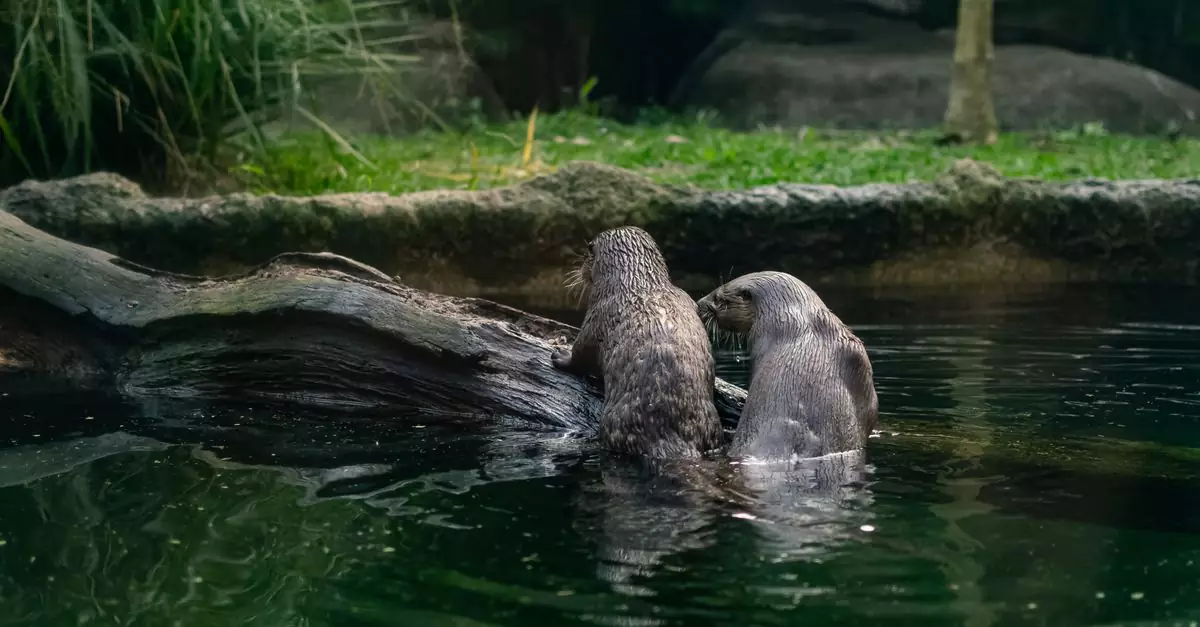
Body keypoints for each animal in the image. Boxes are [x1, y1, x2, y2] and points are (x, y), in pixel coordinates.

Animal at [551, 226, 725, 459]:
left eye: (587, 256)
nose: (580, 272)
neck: (640, 284)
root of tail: (668, 437)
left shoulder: (596, 316)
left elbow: (580, 354)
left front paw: (560, 355)